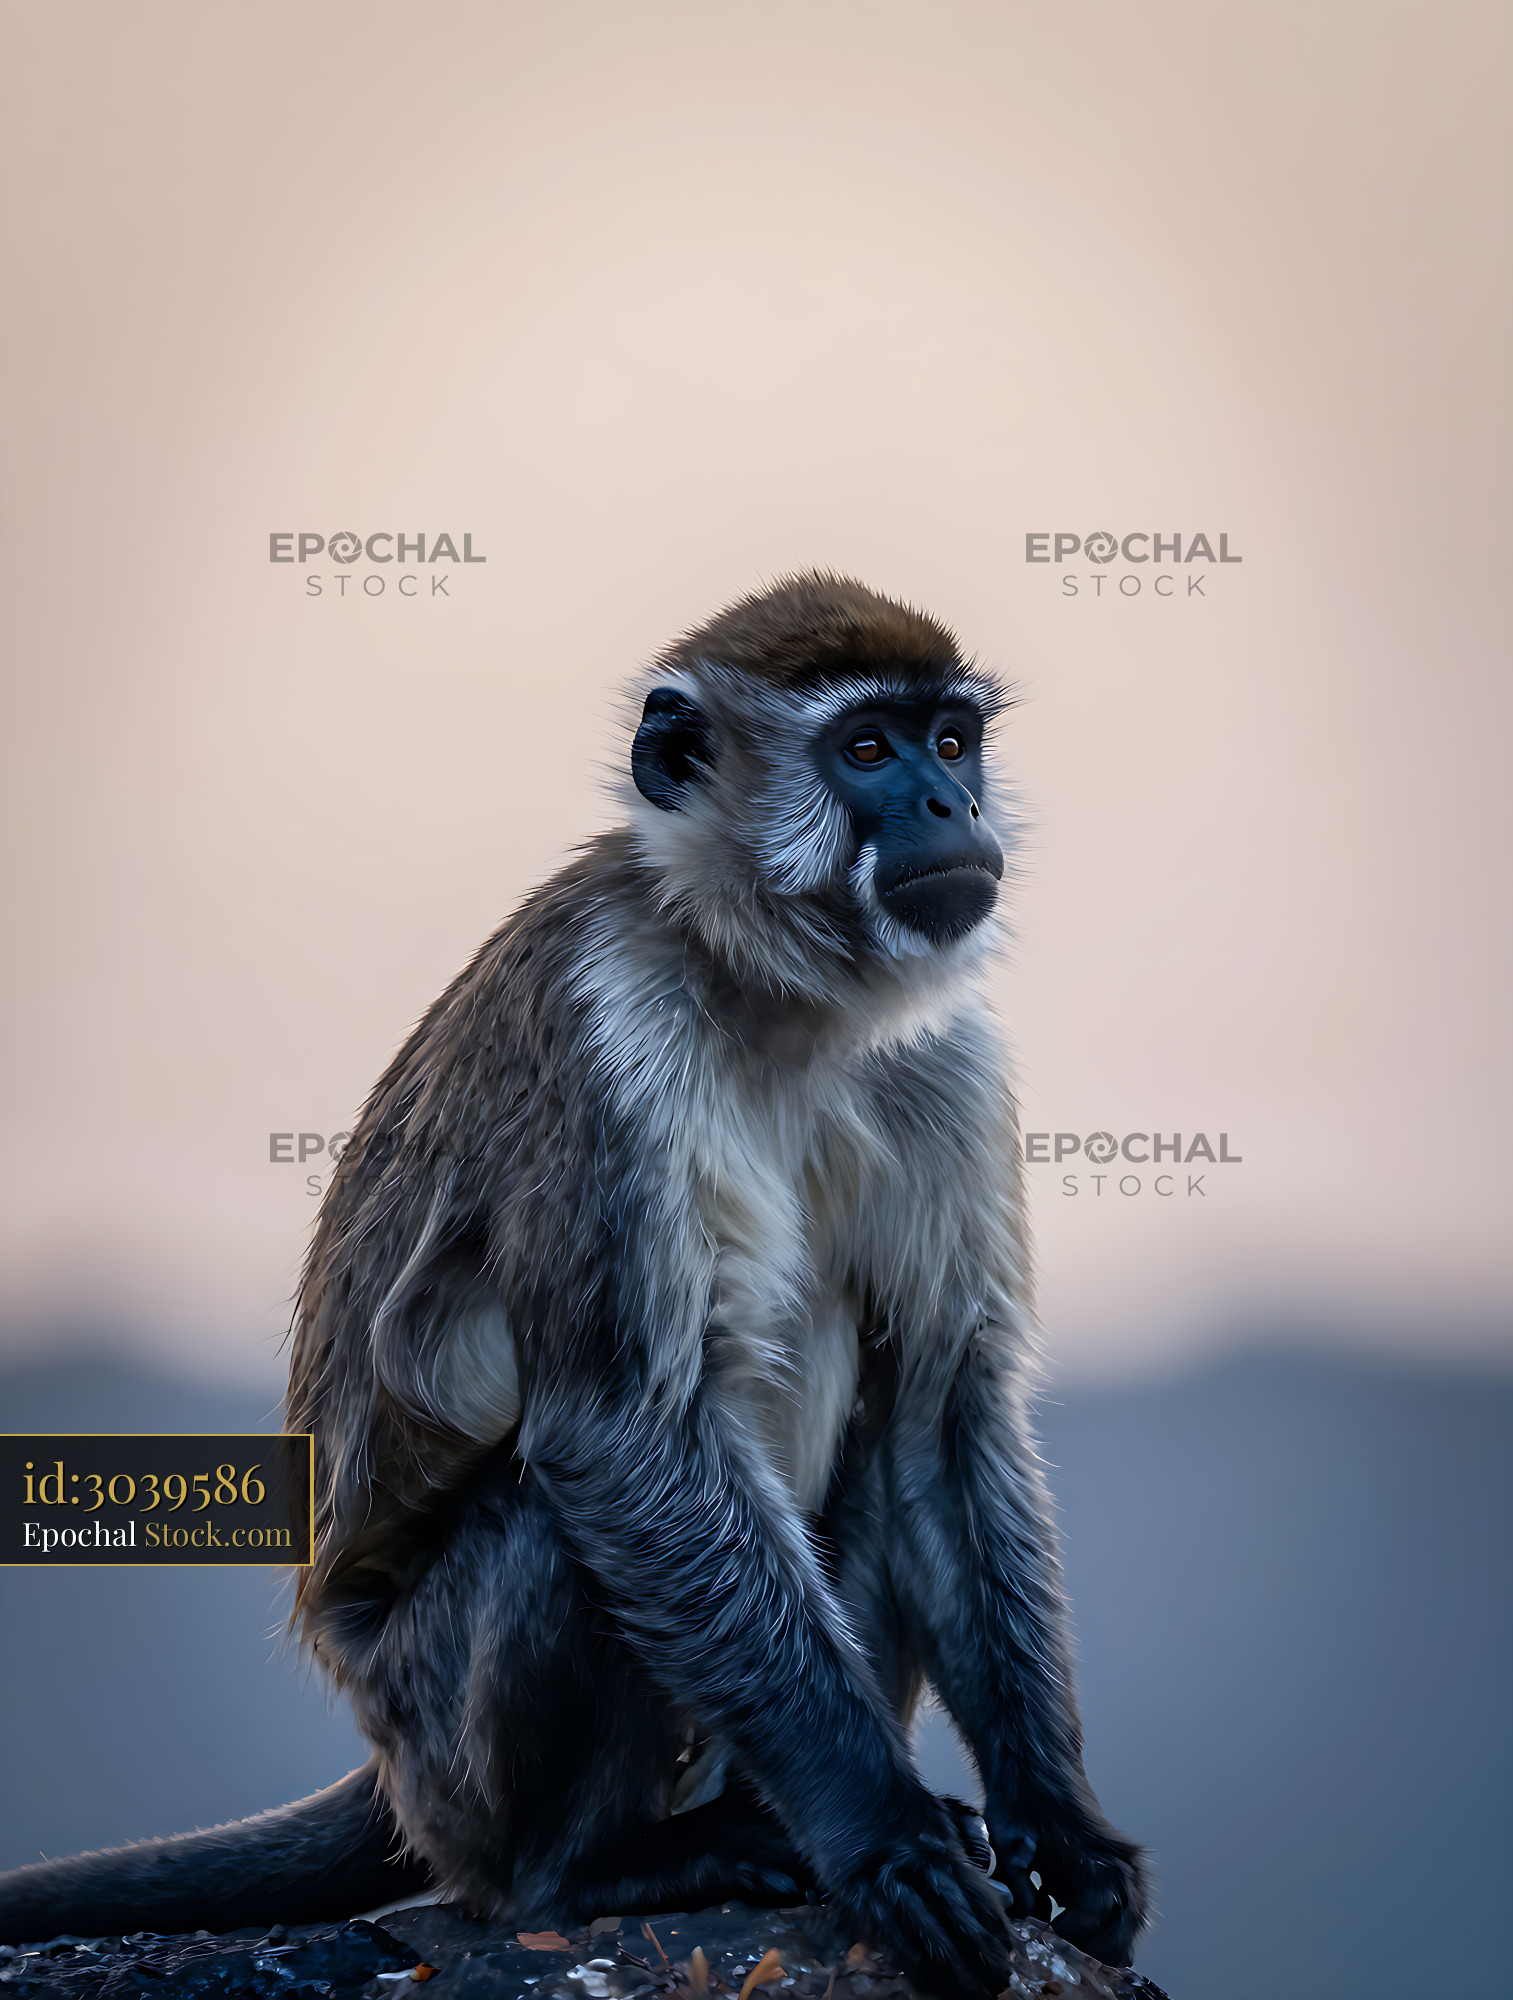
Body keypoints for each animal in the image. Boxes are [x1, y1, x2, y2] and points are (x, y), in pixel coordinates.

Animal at [0, 573, 1148, 1996]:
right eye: (867, 748)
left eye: (950, 740)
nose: (951, 807)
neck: (767, 991)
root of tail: (384, 1758)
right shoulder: (608, 1032)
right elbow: (616, 1429)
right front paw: (882, 1834)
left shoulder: (943, 1063)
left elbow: (940, 1414)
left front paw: (1065, 1829)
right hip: (440, 1738)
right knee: (552, 1518)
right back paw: (592, 1869)